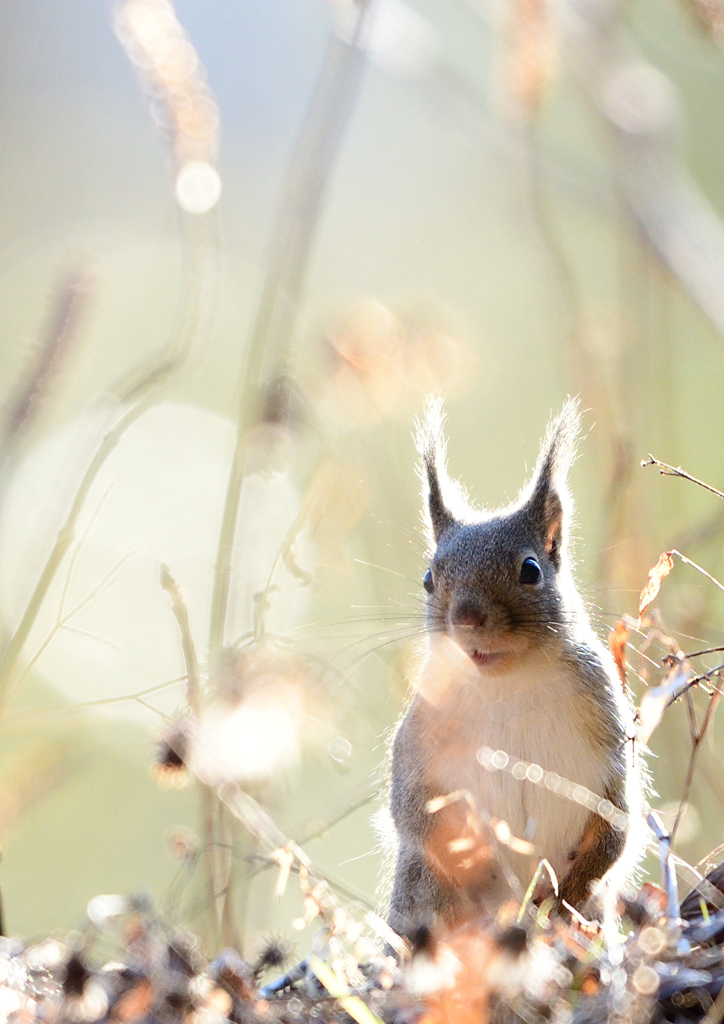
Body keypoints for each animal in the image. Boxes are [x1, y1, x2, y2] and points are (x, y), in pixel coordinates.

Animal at [387, 397, 643, 937]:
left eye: (531, 570)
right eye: (428, 578)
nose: (467, 617)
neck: (506, 685)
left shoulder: (607, 721)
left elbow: (618, 815)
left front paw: (568, 892)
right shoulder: (419, 738)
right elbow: (411, 809)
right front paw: (475, 864)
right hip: (420, 888)